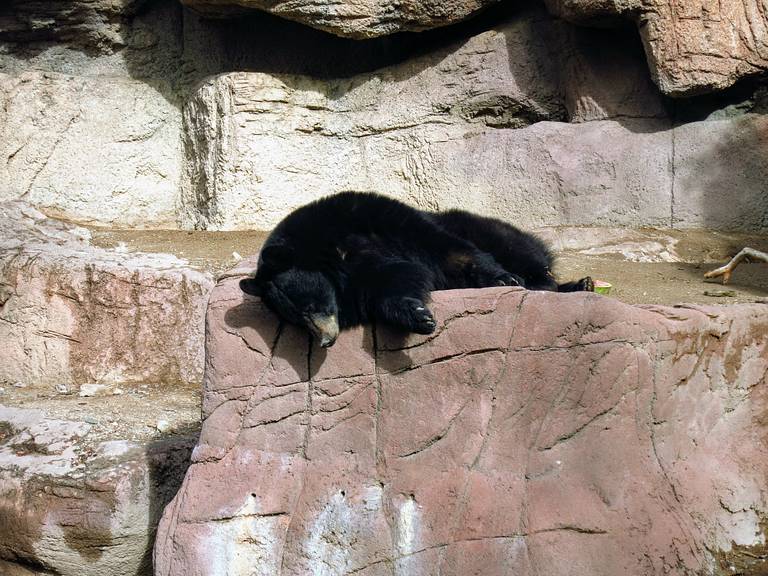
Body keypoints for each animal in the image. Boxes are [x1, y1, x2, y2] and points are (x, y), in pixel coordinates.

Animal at [240, 191, 593, 347]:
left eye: (310, 306)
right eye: (296, 320)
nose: (325, 340)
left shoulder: (374, 217)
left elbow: (444, 250)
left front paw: (503, 278)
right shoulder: (364, 271)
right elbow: (394, 279)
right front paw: (419, 316)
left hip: (492, 230)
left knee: (525, 256)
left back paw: (564, 282)